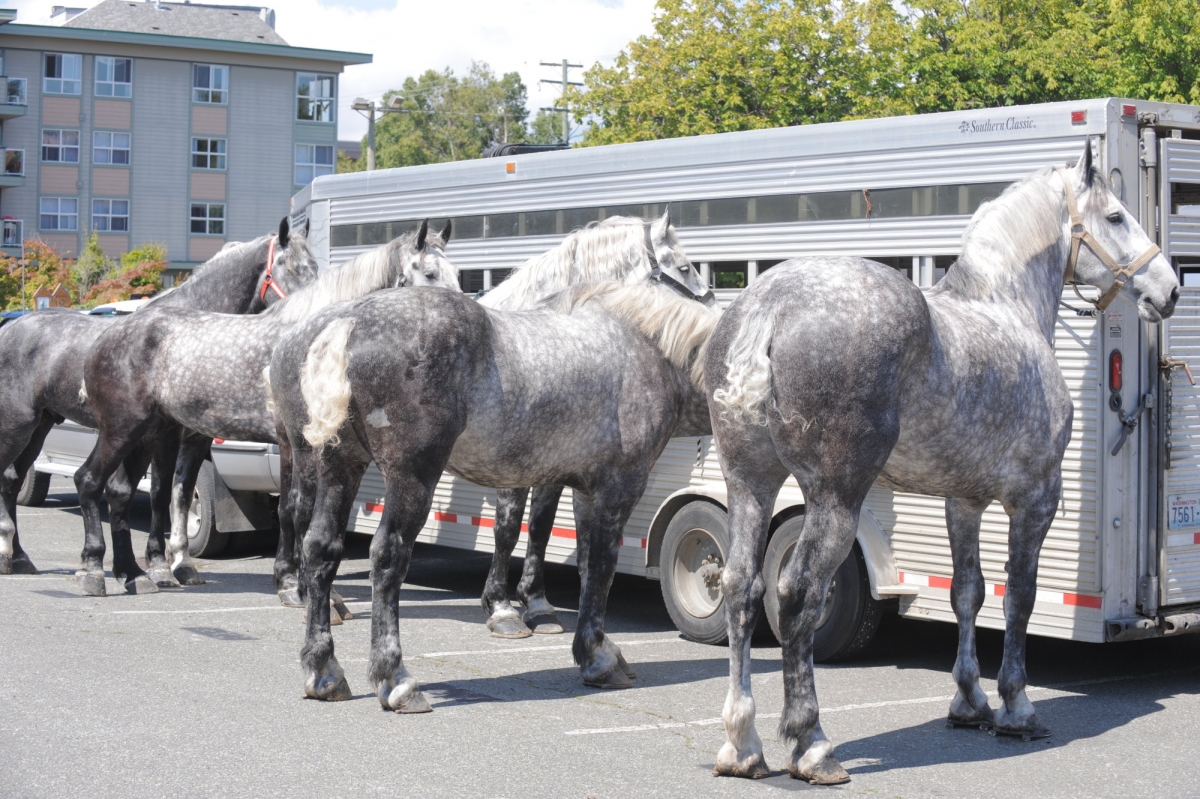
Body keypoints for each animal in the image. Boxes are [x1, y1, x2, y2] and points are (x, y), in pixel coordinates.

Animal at [0, 219, 315, 579]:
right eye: (293, 267)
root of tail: (10, 328)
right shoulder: (164, 436)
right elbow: (156, 494)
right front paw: (158, 563)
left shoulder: (193, 439)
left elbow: (178, 494)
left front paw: (179, 562)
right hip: (18, 424)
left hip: (40, 426)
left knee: (11, 480)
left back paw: (18, 557)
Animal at [71, 221, 457, 598]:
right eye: (429, 273)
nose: (457, 316)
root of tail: (109, 333)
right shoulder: (290, 442)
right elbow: (293, 507)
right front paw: (293, 583)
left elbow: (300, 510)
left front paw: (298, 580)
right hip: (123, 430)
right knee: (89, 480)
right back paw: (94, 572)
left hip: (148, 433)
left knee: (120, 491)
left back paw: (134, 574)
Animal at [268, 277, 717, 710]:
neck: (649, 350)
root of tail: (345, 323)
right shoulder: (619, 488)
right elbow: (602, 568)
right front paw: (598, 659)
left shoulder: (587, 492)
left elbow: (588, 568)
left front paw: (600, 650)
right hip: (411, 477)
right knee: (388, 557)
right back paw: (396, 680)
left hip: (338, 466)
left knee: (321, 548)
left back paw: (324, 672)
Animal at [705, 140, 1179, 783]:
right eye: (1115, 217)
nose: (1169, 289)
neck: (1007, 309)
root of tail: (769, 306)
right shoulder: (1036, 499)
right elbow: (1020, 594)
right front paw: (1016, 707)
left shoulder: (964, 501)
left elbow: (967, 593)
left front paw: (969, 701)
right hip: (834, 499)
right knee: (798, 593)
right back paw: (812, 744)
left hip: (749, 483)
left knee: (741, 588)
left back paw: (742, 743)